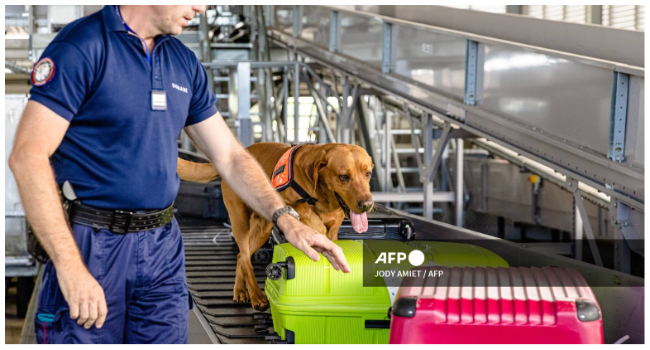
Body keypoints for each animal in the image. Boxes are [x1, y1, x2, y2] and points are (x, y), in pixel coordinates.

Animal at [177, 141, 372, 310]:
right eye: (343, 177)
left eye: (368, 174)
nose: (367, 204)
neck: (323, 197)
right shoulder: (286, 202)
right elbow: (306, 213)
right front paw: (316, 230)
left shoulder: (335, 225)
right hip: (240, 221)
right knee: (245, 258)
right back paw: (256, 296)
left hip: (262, 228)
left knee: (240, 256)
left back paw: (240, 290)